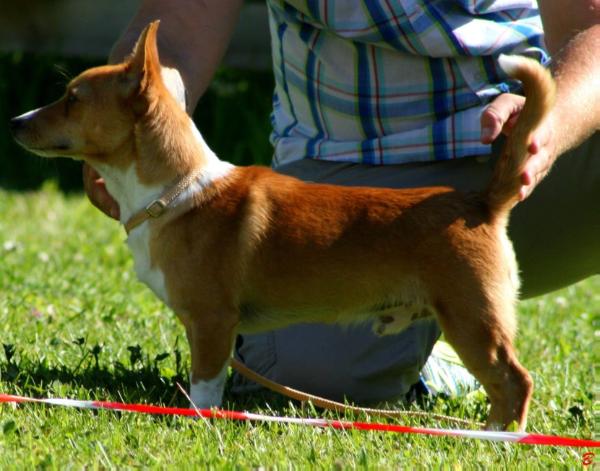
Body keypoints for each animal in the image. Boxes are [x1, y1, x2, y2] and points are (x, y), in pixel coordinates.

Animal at [9, 21, 556, 432]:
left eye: (73, 98)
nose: (14, 122)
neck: (176, 191)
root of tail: (482, 202)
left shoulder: (213, 323)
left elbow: (205, 385)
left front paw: (196, 422)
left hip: (471, 318)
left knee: (514, 380)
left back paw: (498, 437)